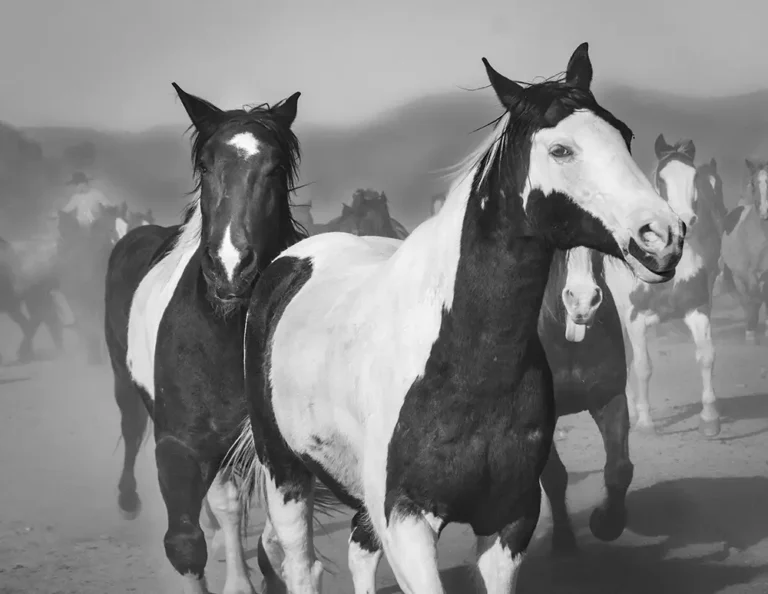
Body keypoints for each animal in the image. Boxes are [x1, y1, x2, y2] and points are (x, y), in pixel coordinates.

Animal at [103, 83, 342, 594]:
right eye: (206, 166)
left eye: (275, 167)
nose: (232, 268)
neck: (224, 333)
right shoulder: (179, 445)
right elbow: (184, 544)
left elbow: (272, 540)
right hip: (123, 380)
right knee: (133, 429)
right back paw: (129, 501)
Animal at [224, 42, 685, 594]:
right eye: (561, 150)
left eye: (624, 135)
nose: (663, 236)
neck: (464, 364)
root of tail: (291, 260)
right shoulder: (406, 521)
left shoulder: (510, 519)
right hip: (286, 475)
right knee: (301, 566)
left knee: (358, 550)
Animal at [603, 135, 724, 438]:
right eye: (661, 179)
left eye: (694, 176)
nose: (686, 220)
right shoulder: (635, 320)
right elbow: (643, 367)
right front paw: (646, 422)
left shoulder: (697, 309)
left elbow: (706, 356)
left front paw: (710, 417)